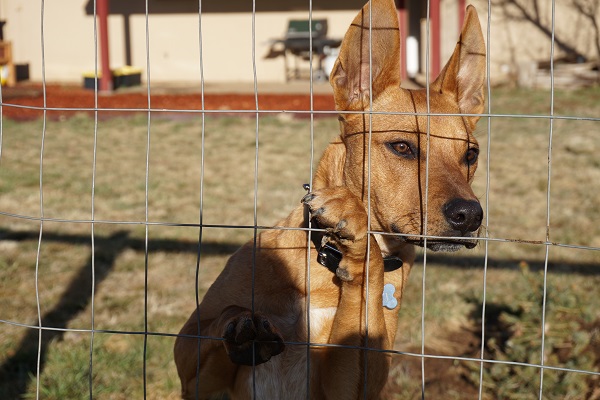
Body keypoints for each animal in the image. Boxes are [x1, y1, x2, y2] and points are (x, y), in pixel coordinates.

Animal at [172, 0, 482, 398]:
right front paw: (244, 327)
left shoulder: (347, 382)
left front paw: (360, 241)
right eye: (402, 147)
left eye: (471, 154)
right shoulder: (193, 368)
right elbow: (223, 318)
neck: (323, 265)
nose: (470, 215)